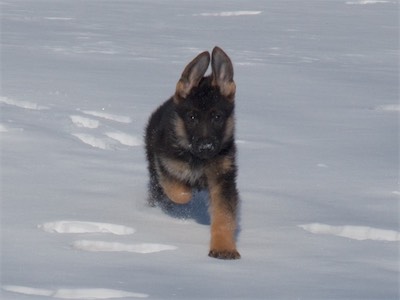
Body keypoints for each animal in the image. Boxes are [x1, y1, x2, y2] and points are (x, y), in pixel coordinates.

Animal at [147, 47, 241, 260]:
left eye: (217, 117)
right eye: (192, 117)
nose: (206, 146)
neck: (199, 160)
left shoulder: (223, 179)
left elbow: (224, 216)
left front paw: (224, 248)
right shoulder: (165, 164)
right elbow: (179, 191)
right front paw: (186, 194)